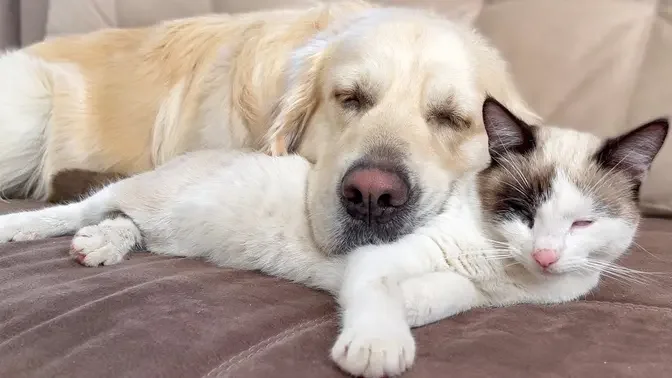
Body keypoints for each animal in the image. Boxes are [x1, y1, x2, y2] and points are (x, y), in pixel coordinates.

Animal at [0, 98, 664, 378]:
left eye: (584, 222)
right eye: (523, 210)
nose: (547, 253)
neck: (507, 276)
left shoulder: (484, 296)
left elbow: (447, 295)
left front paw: (411, 309)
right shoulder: (380, 256)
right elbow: (377, 295)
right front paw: (377, 347)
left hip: (160, 229)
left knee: (123, 225)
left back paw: (98, 247)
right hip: (138, 194)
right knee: (80, 208)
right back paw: (21, 229)